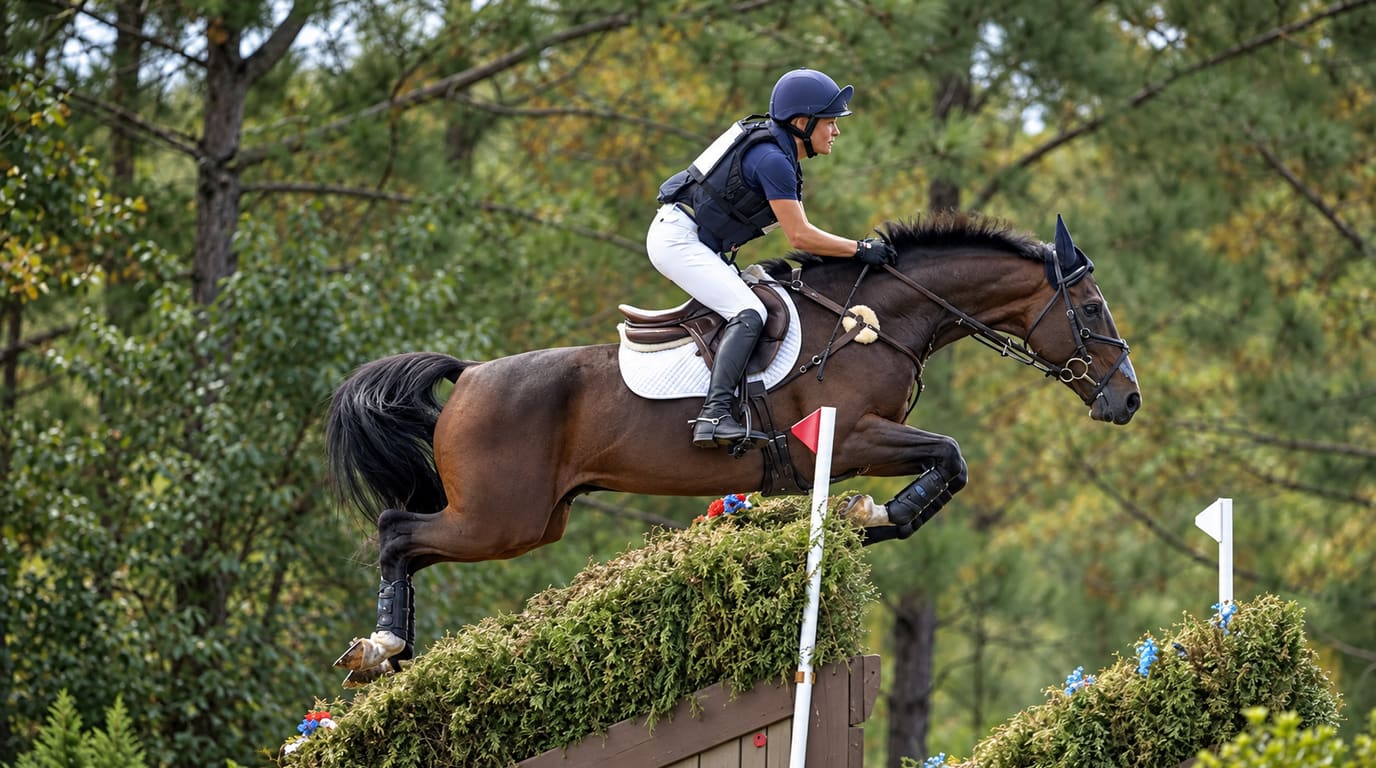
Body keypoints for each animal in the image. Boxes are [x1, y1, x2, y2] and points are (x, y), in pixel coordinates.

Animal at [327, 211, 1140, 685]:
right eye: (1092, 310)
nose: (1127, 400)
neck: (875, 321)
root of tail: (468, 374)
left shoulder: (856, 443)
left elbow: (948, 463)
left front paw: (869, 518)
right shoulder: (852, 434)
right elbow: (950, 455)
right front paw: (870, 514)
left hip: (529, 519)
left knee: (408, 539)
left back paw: (391, 654)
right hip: (503, 519)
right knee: (396, 532)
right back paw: (381, 648)